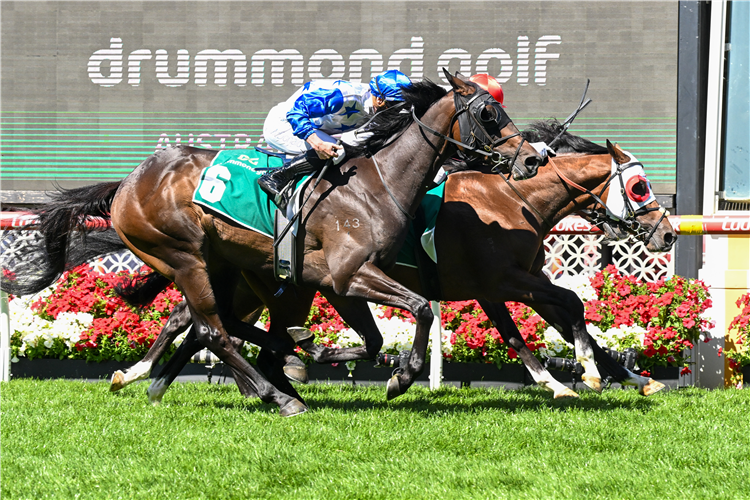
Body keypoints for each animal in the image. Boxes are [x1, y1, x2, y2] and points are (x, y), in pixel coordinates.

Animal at [5, 70, 548, 414]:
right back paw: (278, 396)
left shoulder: (334, 282)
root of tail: (127, 183)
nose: (531, 160)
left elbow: (375, 338)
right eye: (489, 114)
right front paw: (400, 375)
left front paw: (324, 353)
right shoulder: (349, 274)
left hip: (226, 265)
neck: (379, 184)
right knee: (214, 330)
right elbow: (420, 308)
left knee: (212, 324)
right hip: (184, 257)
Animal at [107, 119, 676, 400]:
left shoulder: (500, 285)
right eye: (640, 187)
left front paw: (615, 378)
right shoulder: (504, 280)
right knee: (206, 323)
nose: (667, 233)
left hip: (251, 280)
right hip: (231, 273)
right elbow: (563, 312)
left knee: (202, 321)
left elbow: (549, 326)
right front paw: (576, 378)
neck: (513, 200)